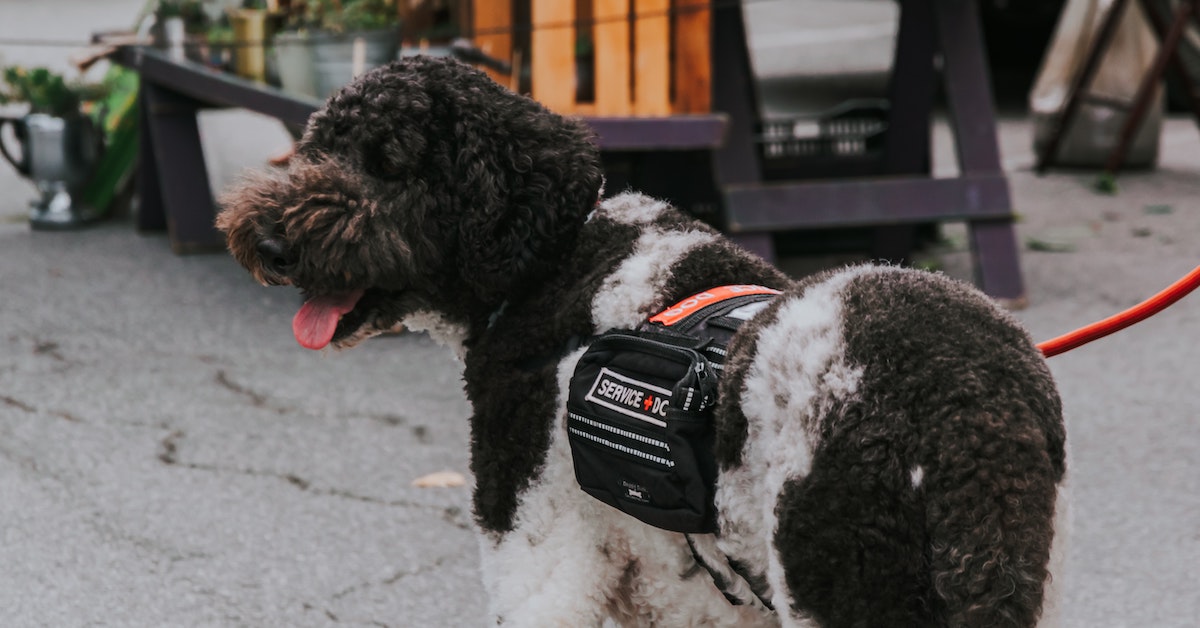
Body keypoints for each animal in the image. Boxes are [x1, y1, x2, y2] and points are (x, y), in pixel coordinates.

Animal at [217, 57, 1068, 627]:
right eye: (317, 145)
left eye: (388, 164)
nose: (269, 242)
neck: (556, 259)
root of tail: (973, 415)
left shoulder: (537, 539)